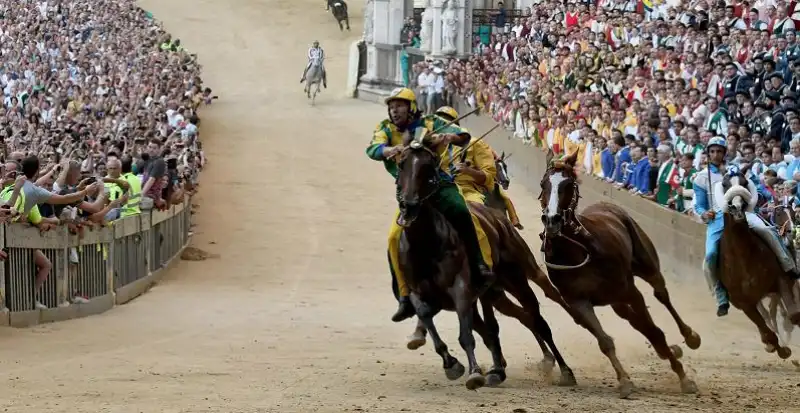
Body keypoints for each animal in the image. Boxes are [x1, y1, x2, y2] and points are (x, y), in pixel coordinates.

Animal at [396, 140, 580, 388]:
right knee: (523, 317)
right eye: (401, 165)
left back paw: (565, 366)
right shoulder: (422, 290)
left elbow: (472, 332)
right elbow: (430, 315)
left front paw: (476, 371)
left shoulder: (462, 288)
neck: (428, 243)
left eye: (428, 168)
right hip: (496, 292)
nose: (409, 205)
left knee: (541, 311)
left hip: (520, 275)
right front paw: (453, 362)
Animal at [536, 150, 700, 396]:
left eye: (568, 184)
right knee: (636, 320)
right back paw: (667, 349)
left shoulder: (629, 290)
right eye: (543, 183)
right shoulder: (578, 301)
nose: (552, 219)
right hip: (616, 301)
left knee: (661, 294)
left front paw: (684, 378)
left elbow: (655, 330)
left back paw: (689, 337)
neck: (578, 250)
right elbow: (605, 341)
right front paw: (624, 380)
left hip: (646, 265)